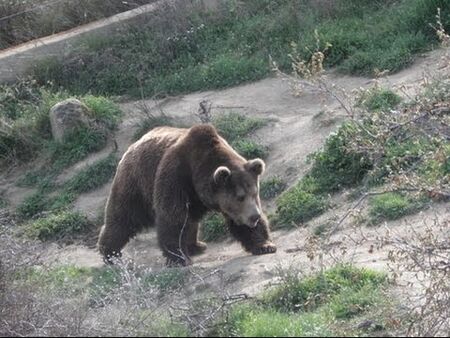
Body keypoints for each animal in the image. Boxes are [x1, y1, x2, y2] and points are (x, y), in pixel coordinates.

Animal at [96, 123, 276, 266]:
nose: (254, 216)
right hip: (136, 182)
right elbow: (172, 217)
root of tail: (133, 145)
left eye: (254, 193)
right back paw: (111, 253)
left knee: (191, 220)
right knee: (124, 217)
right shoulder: (176, 176)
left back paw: (196, 245)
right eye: (240, 197)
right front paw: (179, 258)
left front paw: (265, 245)